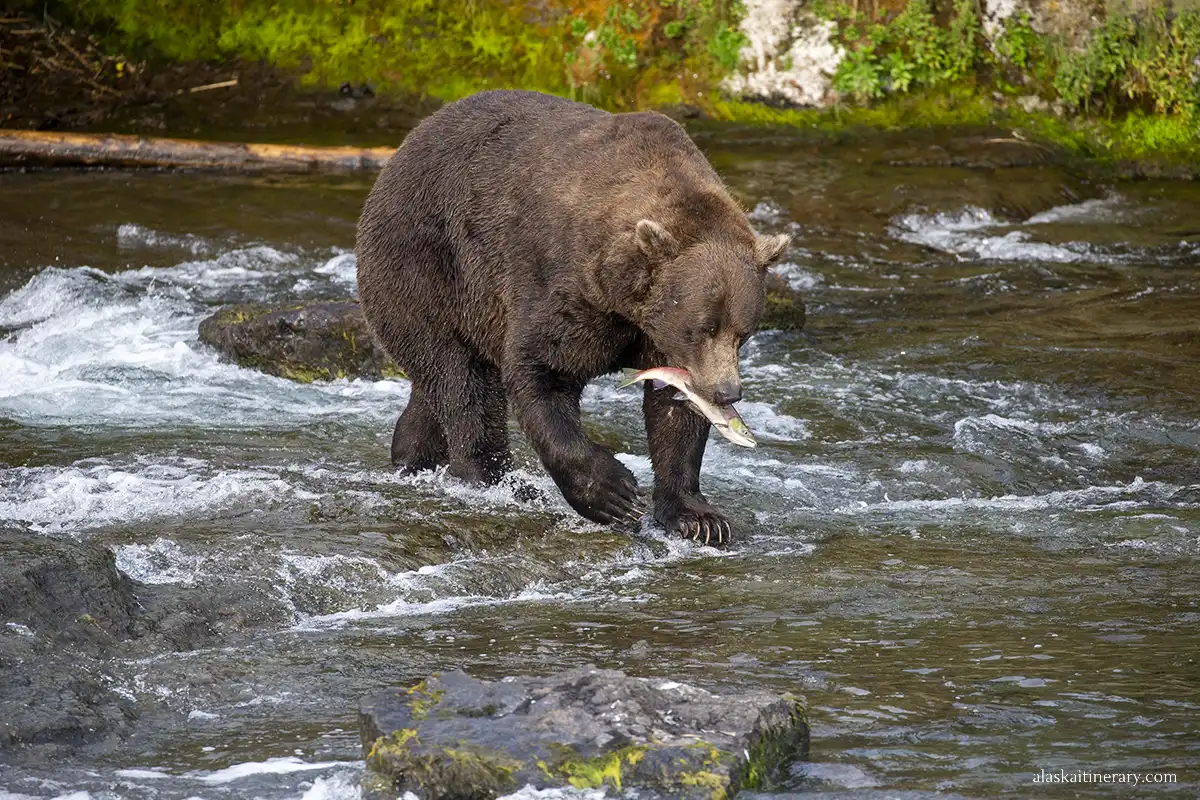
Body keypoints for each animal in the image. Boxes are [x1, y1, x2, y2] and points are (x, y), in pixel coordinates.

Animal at [356, 90, 789, 545]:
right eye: (703, 327)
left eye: (744, 333)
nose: (727, 392)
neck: (626, 301)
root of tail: (402, 151)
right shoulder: (565, 287)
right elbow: (542, 371)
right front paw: (612, 492)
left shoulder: (654, 337)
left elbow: (674, 410)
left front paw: (699, 518)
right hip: (428, 269)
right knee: (461, 381)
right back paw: (499, 482)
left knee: (438, 384)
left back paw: (412, 453)